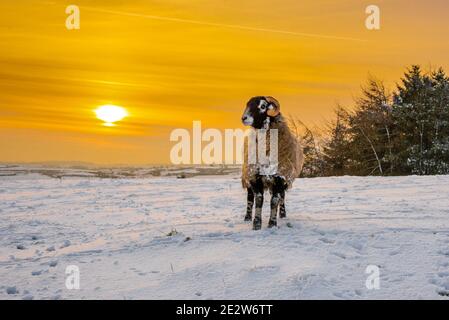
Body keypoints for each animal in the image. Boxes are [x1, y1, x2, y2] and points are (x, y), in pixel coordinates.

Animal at [240, 95, 302, 230]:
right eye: (248, 104)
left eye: (263, 106)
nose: (244, 118)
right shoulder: (255, 176)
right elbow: (258, 199)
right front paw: (256, 224)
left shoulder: (280, 176)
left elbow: (274, 201)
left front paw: (272, 223)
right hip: (248, 174)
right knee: (250, 198)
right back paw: (247, 217)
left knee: (281, 197)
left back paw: (282, 215)